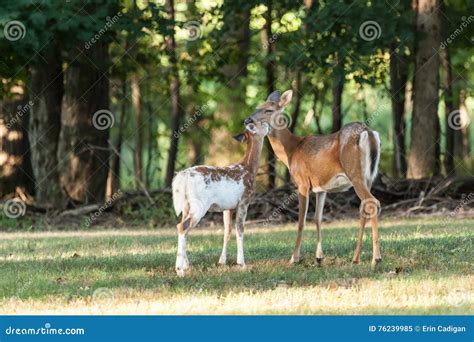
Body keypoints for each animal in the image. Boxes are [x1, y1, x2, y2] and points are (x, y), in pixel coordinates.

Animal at [244, 90, 382, 268]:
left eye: (268, 110)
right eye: (256, 107)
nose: (248, 120)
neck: (292, 151)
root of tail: (369, 132)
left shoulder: (302, 183)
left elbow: (301, 221)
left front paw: (294, 258)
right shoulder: (321, 188)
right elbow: (317, 218)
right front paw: (319, 257)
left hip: (355, 173)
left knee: (372, 203)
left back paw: (376, 258)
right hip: (369, 176)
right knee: (364, 207)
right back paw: (355, 258)